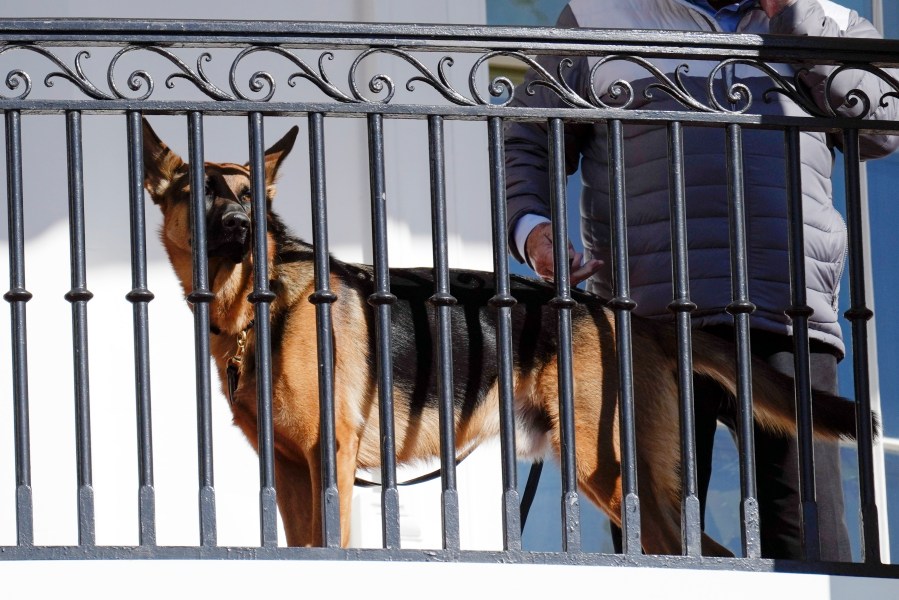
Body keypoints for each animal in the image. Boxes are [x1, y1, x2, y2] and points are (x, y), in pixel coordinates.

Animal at [146, 119, 864, 556]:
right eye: (198, 191)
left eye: (249, 198)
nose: (240, 226)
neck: (259, 302)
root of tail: (627, 315)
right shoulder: (292, 471)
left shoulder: (330, 461)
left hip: (605, 467)